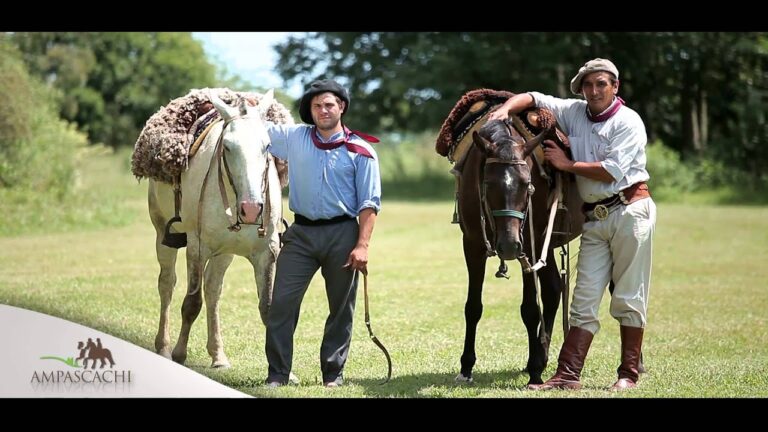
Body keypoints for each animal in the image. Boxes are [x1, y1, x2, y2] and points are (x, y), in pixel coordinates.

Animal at [147, 91, 284, 368]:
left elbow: (267, 308)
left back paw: (218, 355)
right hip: (162, 236)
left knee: (212, 292)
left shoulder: (267, 253)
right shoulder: (197, 248)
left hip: (225, 254)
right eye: (228, 147)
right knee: (167, 285)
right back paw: (164, 348)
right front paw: (180, 353)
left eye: (267, 146)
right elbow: (191, 303)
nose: (251, 209)